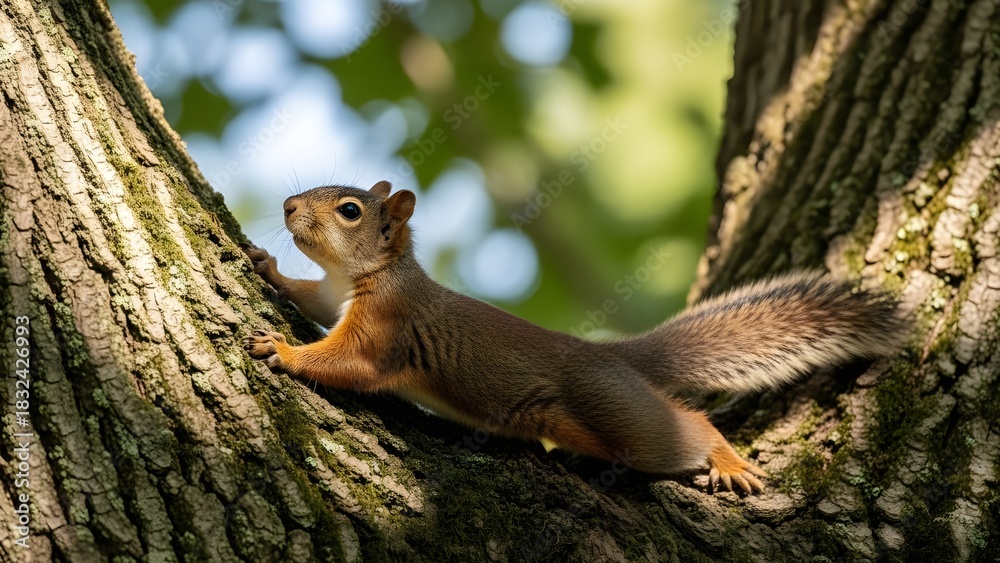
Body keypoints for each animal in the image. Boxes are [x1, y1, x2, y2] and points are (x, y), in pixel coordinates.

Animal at [243, 181, 903, 494]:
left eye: (350, 211)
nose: (288, 205)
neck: (363, 276)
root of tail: (605, 355)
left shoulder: (386, 326)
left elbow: (350, 362)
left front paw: (285, 351)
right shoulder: (332, 297)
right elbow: (309, 296)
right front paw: (267, 267)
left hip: (615, 417)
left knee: (683, 430)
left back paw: (726, 458)